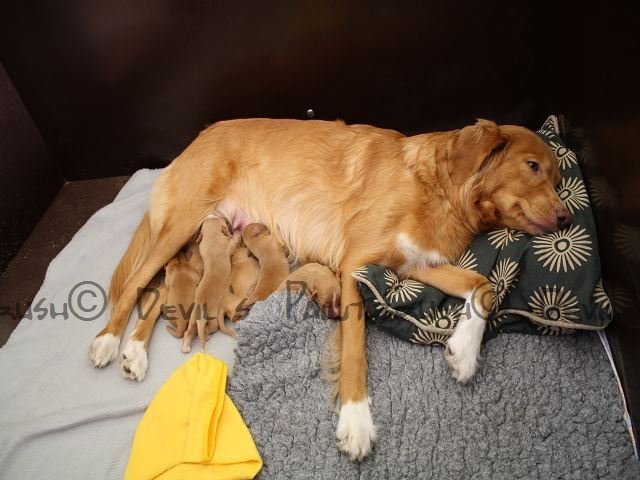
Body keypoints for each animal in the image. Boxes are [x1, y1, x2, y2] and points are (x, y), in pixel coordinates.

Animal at [90, 118, 570, 460]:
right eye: (532, 167)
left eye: (560, 180)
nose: (566, 217)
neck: (440, 189)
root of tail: (197, 139)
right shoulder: (355, 265)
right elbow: (356, 348)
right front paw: (356, 420)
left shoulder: (415, 263)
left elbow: (484, 285)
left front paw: (465, 351)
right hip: (185, 221)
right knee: (138, 283)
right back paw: (110, 341)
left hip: (193, 239)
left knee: (159, 290)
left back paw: (136, 351)